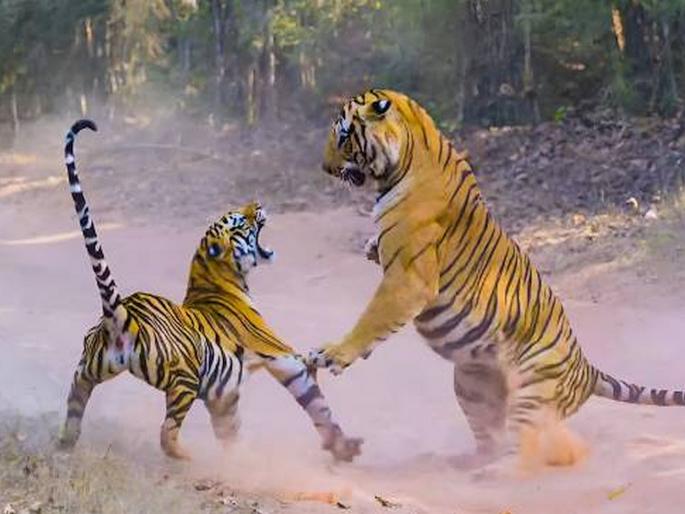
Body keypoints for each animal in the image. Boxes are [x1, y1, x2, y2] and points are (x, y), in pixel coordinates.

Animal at [57, 119, 362, 462]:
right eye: (241, 219)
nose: (258, 203)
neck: (220, 275)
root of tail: (121, 313)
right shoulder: (279, 353)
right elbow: (316, 401)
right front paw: (343, 444)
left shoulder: (224, 395)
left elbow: (232, 429)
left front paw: (239, 456)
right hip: (184, 380)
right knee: (167, 433)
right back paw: (189, 458)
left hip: (86, 371)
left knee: (74, 405)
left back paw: (63, 445)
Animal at [307, 89, 685, 468]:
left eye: (343, 136)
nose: (324, 168)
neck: (414, 150)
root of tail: (586, 369)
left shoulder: (408, 279)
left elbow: (373, 318)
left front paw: (333, 353)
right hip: (471, 382)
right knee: (493, 438)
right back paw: (467, 463)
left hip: (530, 392)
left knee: (525, 446)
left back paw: (493, 472)